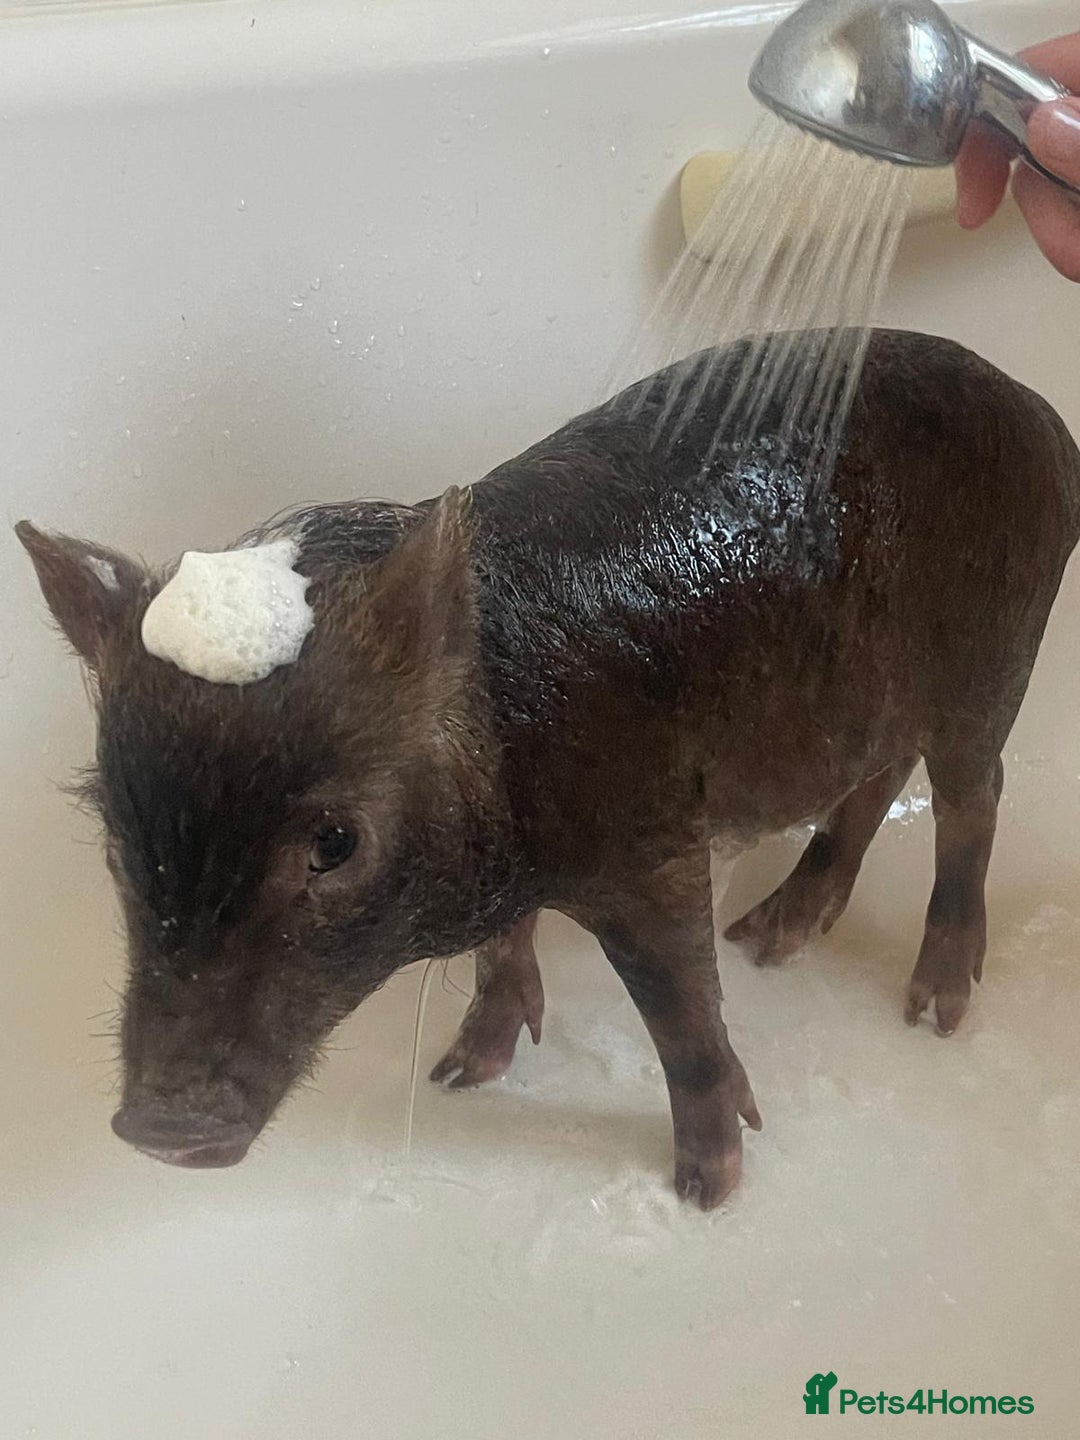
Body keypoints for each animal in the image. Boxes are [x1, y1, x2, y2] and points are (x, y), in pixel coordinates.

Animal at [17, 329, 1080, 1209]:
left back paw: (930, 1011)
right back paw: (770, 937)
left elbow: (679, 1010)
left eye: (334, 842)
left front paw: (708, 1191)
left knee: (972, 802)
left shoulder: (653, 844)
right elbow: (507, 949)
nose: (157, 1129)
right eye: (114, 843)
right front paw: (460, 1074)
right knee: (876, 779)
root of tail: (1044, 418)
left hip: (994, 662)